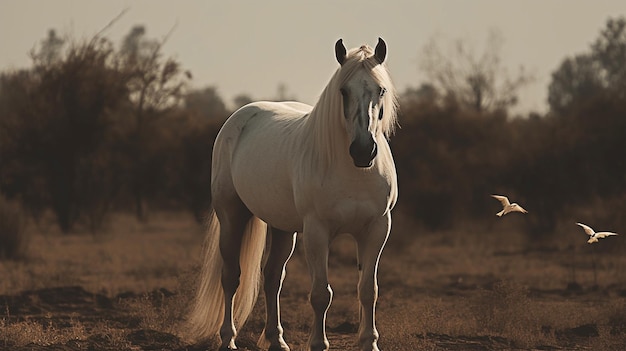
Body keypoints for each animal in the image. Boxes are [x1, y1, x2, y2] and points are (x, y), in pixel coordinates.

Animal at [188, 38, 398, 351]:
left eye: (381, 90)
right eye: (343, 91)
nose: (363, 150)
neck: (353, 172)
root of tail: (239, 118)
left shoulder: (377, 229)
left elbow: (367, 290)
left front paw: (369, 342)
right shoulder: (317, 231)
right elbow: (321, 294)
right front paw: (319, 343)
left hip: (283, 229)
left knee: (273, 278)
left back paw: (277, 340)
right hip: (232, 216)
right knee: (231, 277)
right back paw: (228, 339)